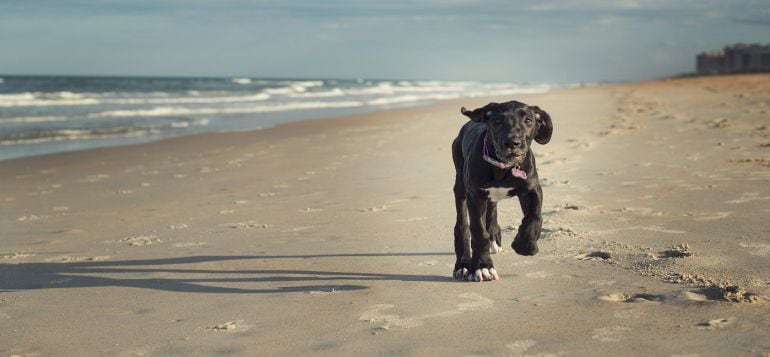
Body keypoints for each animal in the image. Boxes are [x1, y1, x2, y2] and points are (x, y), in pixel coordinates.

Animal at [450, 100, 552, 280]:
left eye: (528, 120)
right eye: (497, 121)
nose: (512, 143)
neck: (502, 167)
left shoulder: (532, 189)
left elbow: (535, 217)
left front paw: (525, 245)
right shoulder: (475, 195)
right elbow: (478, 232)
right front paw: (482, 267)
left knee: (492, 211)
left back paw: (494, 239)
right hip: (460, 188)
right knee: (462, 226)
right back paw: (462, 265)